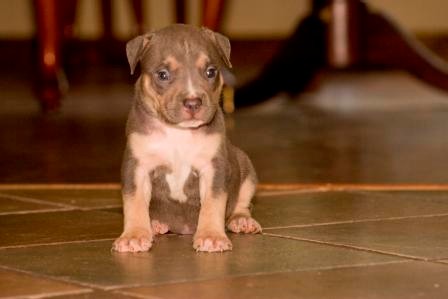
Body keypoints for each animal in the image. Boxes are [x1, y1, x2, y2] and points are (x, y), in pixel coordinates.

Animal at [112, 24, 260, 253]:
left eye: (211, 72)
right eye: (162, 75)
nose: (193, 102)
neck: (178, 132)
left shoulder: (213, 168)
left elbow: (213, 204)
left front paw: (211, 236)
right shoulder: (137, 167)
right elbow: (134, 202)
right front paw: (134, 236)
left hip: (245, 167)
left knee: (242, 202)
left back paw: (241, 220)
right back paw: (155, 224)